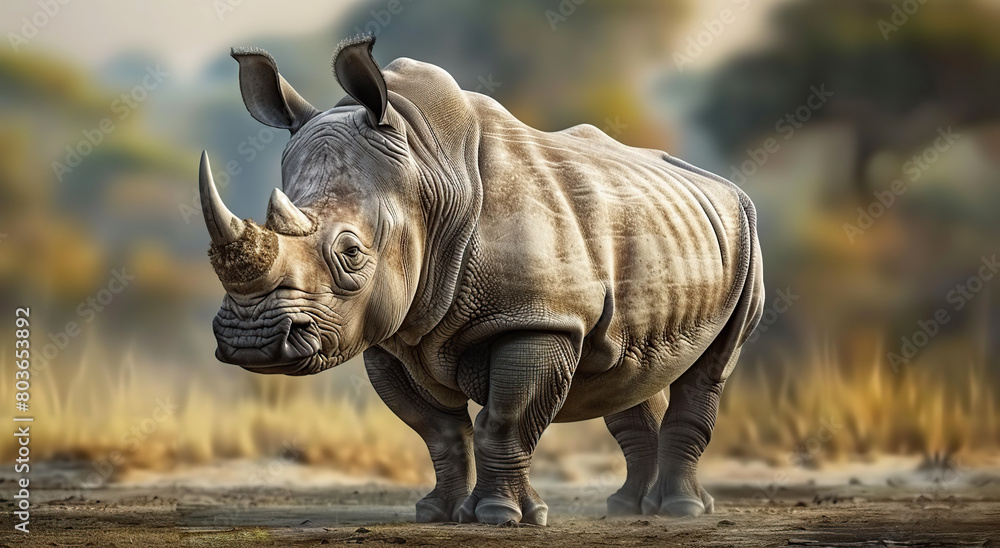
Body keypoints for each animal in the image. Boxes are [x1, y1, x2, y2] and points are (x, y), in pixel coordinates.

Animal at [200, 36, 764, 526]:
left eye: (351, 252)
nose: (251, 341)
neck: (427, 170)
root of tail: (724, 184)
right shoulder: (393, 332)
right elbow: (439, 431)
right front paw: (436, 514)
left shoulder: (538, 319)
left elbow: (504, 421)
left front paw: (501, 518)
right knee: (627, 371)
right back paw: (626, 509)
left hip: (746, 232)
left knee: (710, 370)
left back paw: (681, 511)